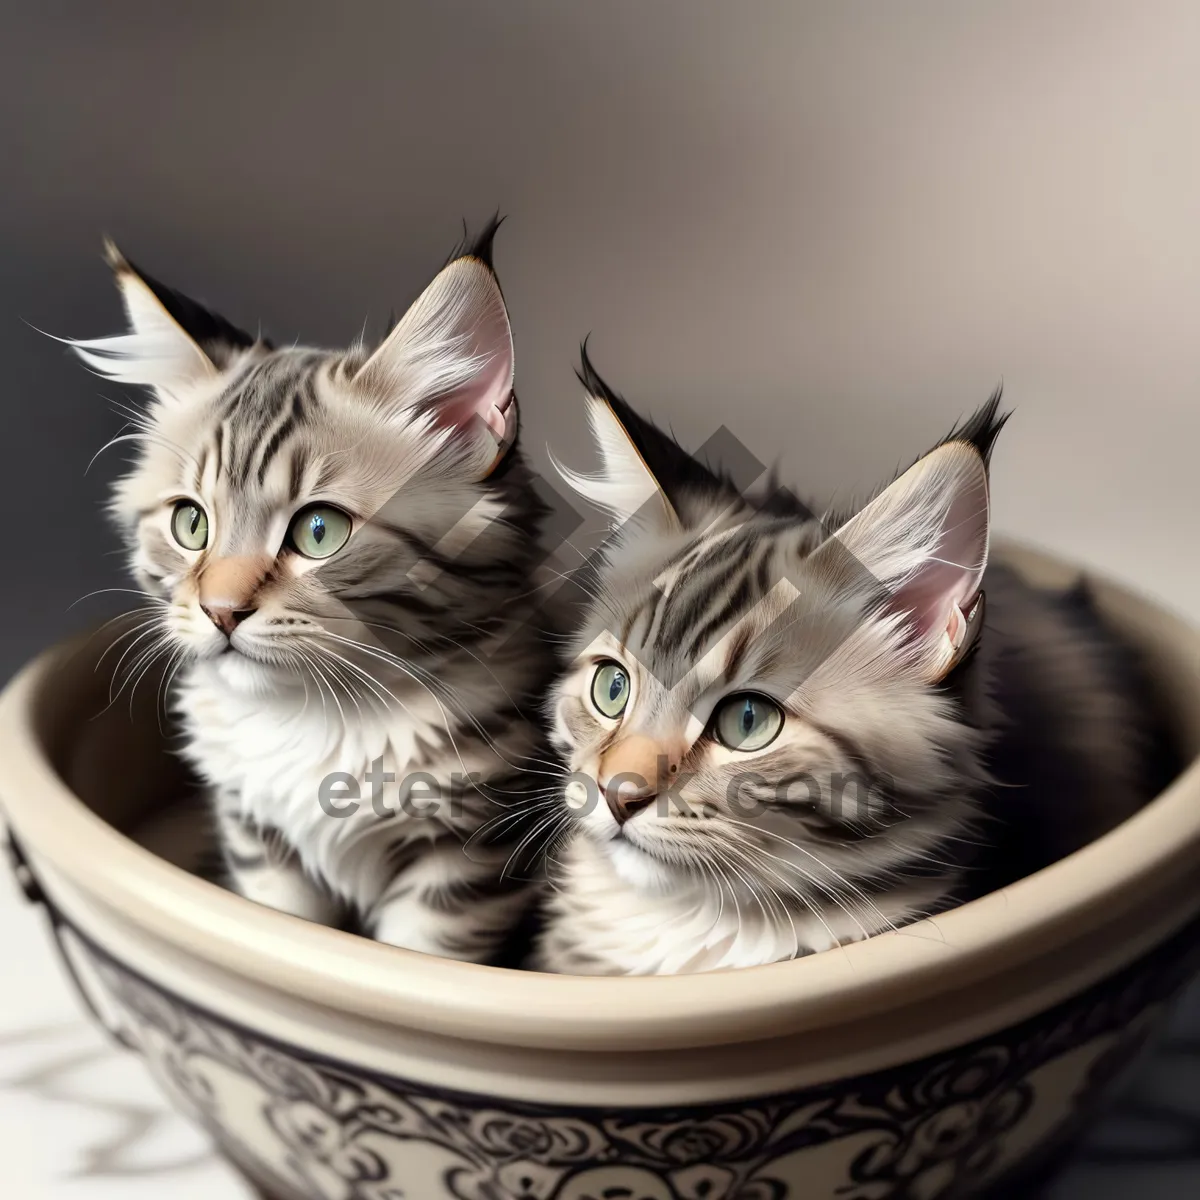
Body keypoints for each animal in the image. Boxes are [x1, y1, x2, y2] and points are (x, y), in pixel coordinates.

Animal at [77, 225, 554, 960]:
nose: (220, 611)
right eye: (191, 524)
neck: (314, 721)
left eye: (319, 531)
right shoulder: (263, 850)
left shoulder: (463, 866)